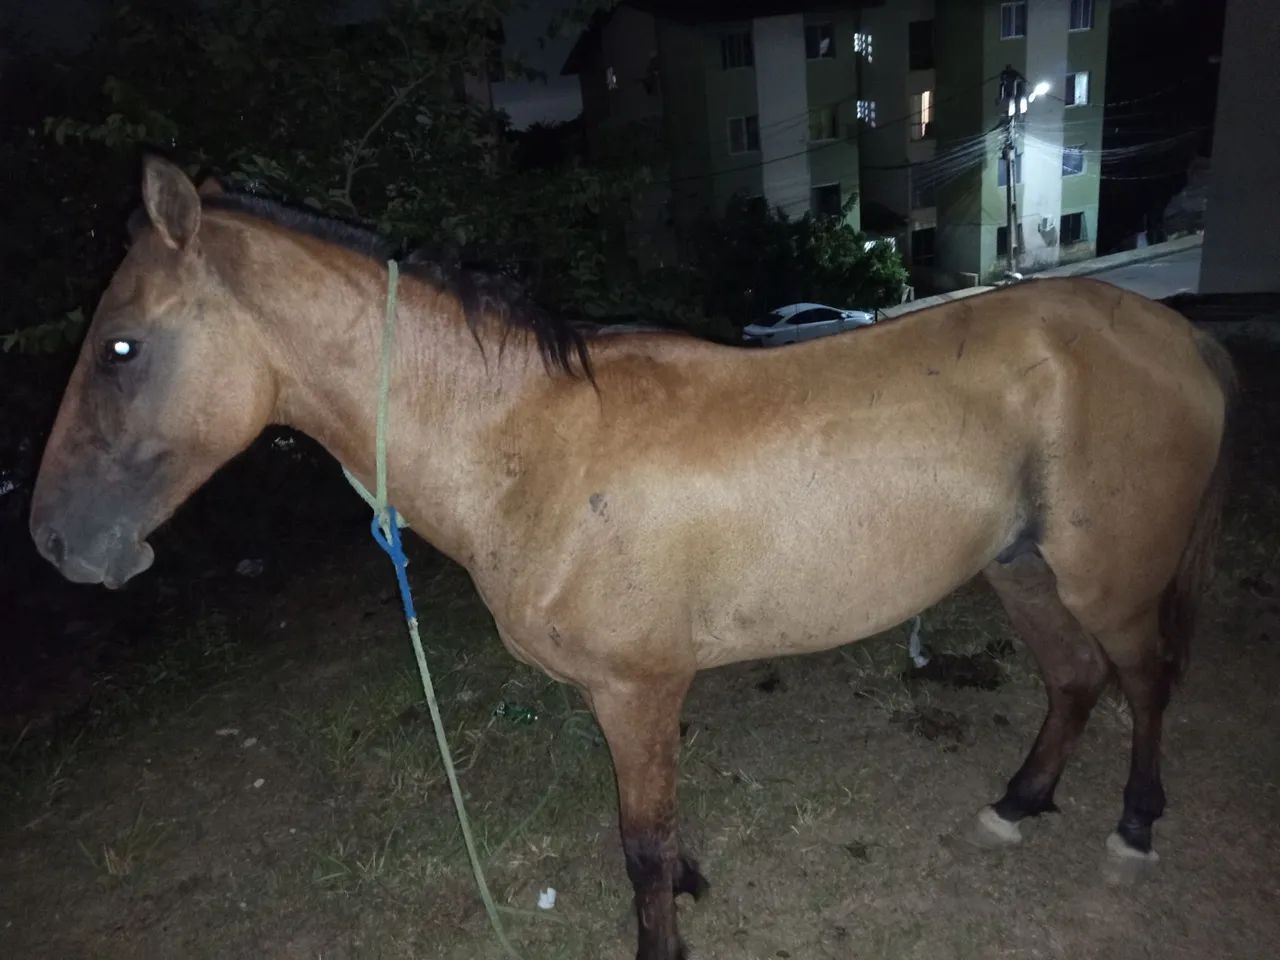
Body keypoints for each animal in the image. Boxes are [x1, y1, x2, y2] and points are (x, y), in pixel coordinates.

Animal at [30, 157, 1232, 960]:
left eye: (120, 348)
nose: (54, 541)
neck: (530, 446)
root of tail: (1175, 333)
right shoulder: (635, 701)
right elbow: (654, 827)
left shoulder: (638, 688)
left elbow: (640, 846)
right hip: (1019, 569)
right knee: (1072, 681)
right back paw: (1019, 803)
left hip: (1107, 580)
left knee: (1143, 678)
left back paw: (1133, 822)